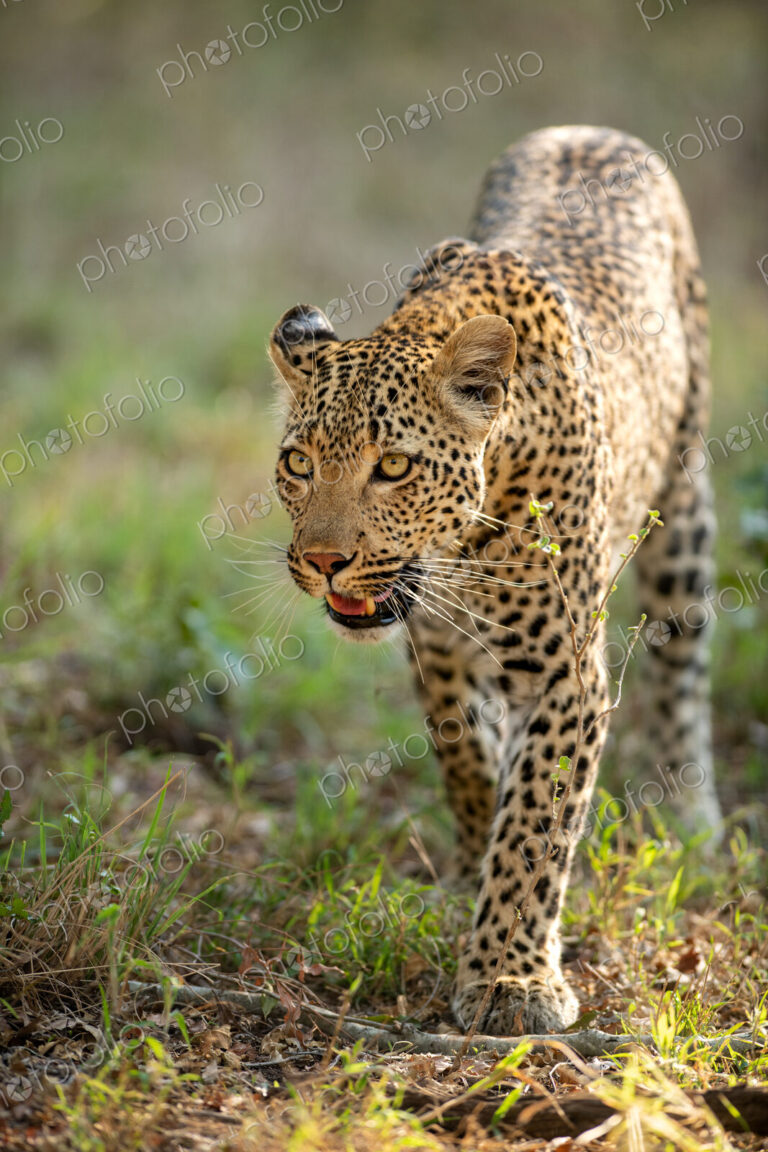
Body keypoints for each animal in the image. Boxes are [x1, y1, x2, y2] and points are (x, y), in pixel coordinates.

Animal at [268, 125, 722, 1036]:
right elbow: (464, 755)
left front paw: (512, 979)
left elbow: (538, 819)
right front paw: (475, 852)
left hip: (684, 502)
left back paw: (686, 811)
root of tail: (588, 128)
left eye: (394, 467)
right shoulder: (434, 645)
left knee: (682, 658)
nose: (325, 561)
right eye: (299, 464)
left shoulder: (564, 672)